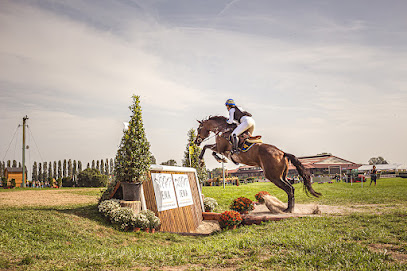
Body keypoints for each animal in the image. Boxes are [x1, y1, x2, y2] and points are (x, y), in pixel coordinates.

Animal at [194, 116, 322, 214]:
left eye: (199, 128)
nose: (196, 141)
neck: (222, 129)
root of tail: (282, 153)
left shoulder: (221, 148)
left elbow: (208, 148)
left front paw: (207, 159)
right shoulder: (220, 148)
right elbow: (208, 148)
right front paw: (216, 159)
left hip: (273, 176)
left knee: (289, 189)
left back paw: (288, 210)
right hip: (282, 176)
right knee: (291, 188)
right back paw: (289, 208)